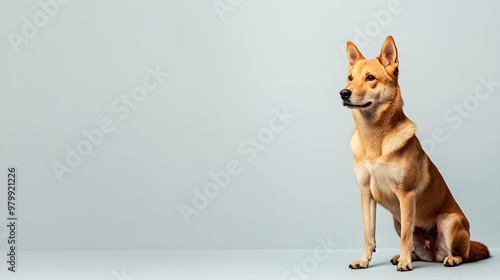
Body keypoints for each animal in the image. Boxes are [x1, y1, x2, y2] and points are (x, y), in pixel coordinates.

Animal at [340, 35, 488, 272]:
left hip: (449, 222)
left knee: (461, 254)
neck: (374, 139)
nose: (343, 93)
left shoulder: (406, 196)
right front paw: (364, 260)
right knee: (422, 251)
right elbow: (368, 234)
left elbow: (405, 237)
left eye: (370, 77)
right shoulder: (366, 195)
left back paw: (449, 258)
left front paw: (405, 263)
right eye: (350, 77)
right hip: (397, 220)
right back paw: (408, 256)